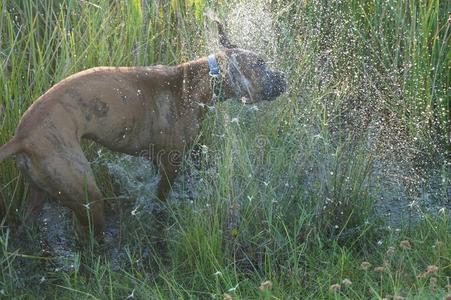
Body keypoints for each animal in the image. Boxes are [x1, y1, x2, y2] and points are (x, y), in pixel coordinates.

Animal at [0, 23, 288, 237]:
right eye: (261, 64)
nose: (284, 76)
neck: (199, 83)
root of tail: (22, 137)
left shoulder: (156, 159)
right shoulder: (171, 163)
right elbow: (161, 199)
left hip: (40, 192)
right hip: (83, 191)